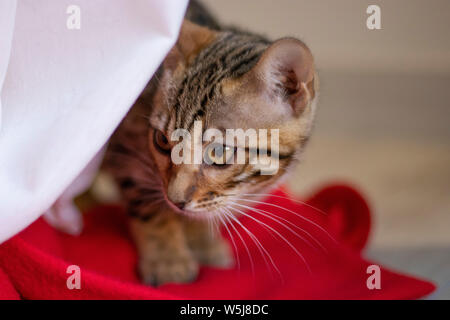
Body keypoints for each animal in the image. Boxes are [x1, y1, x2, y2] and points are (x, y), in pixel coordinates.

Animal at [103, 1, 318, 286]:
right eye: (161, 141)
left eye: (218, 152)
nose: (175, 200)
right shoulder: (125, 147)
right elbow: (147, 202)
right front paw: (167, 256)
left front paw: (200, 238)